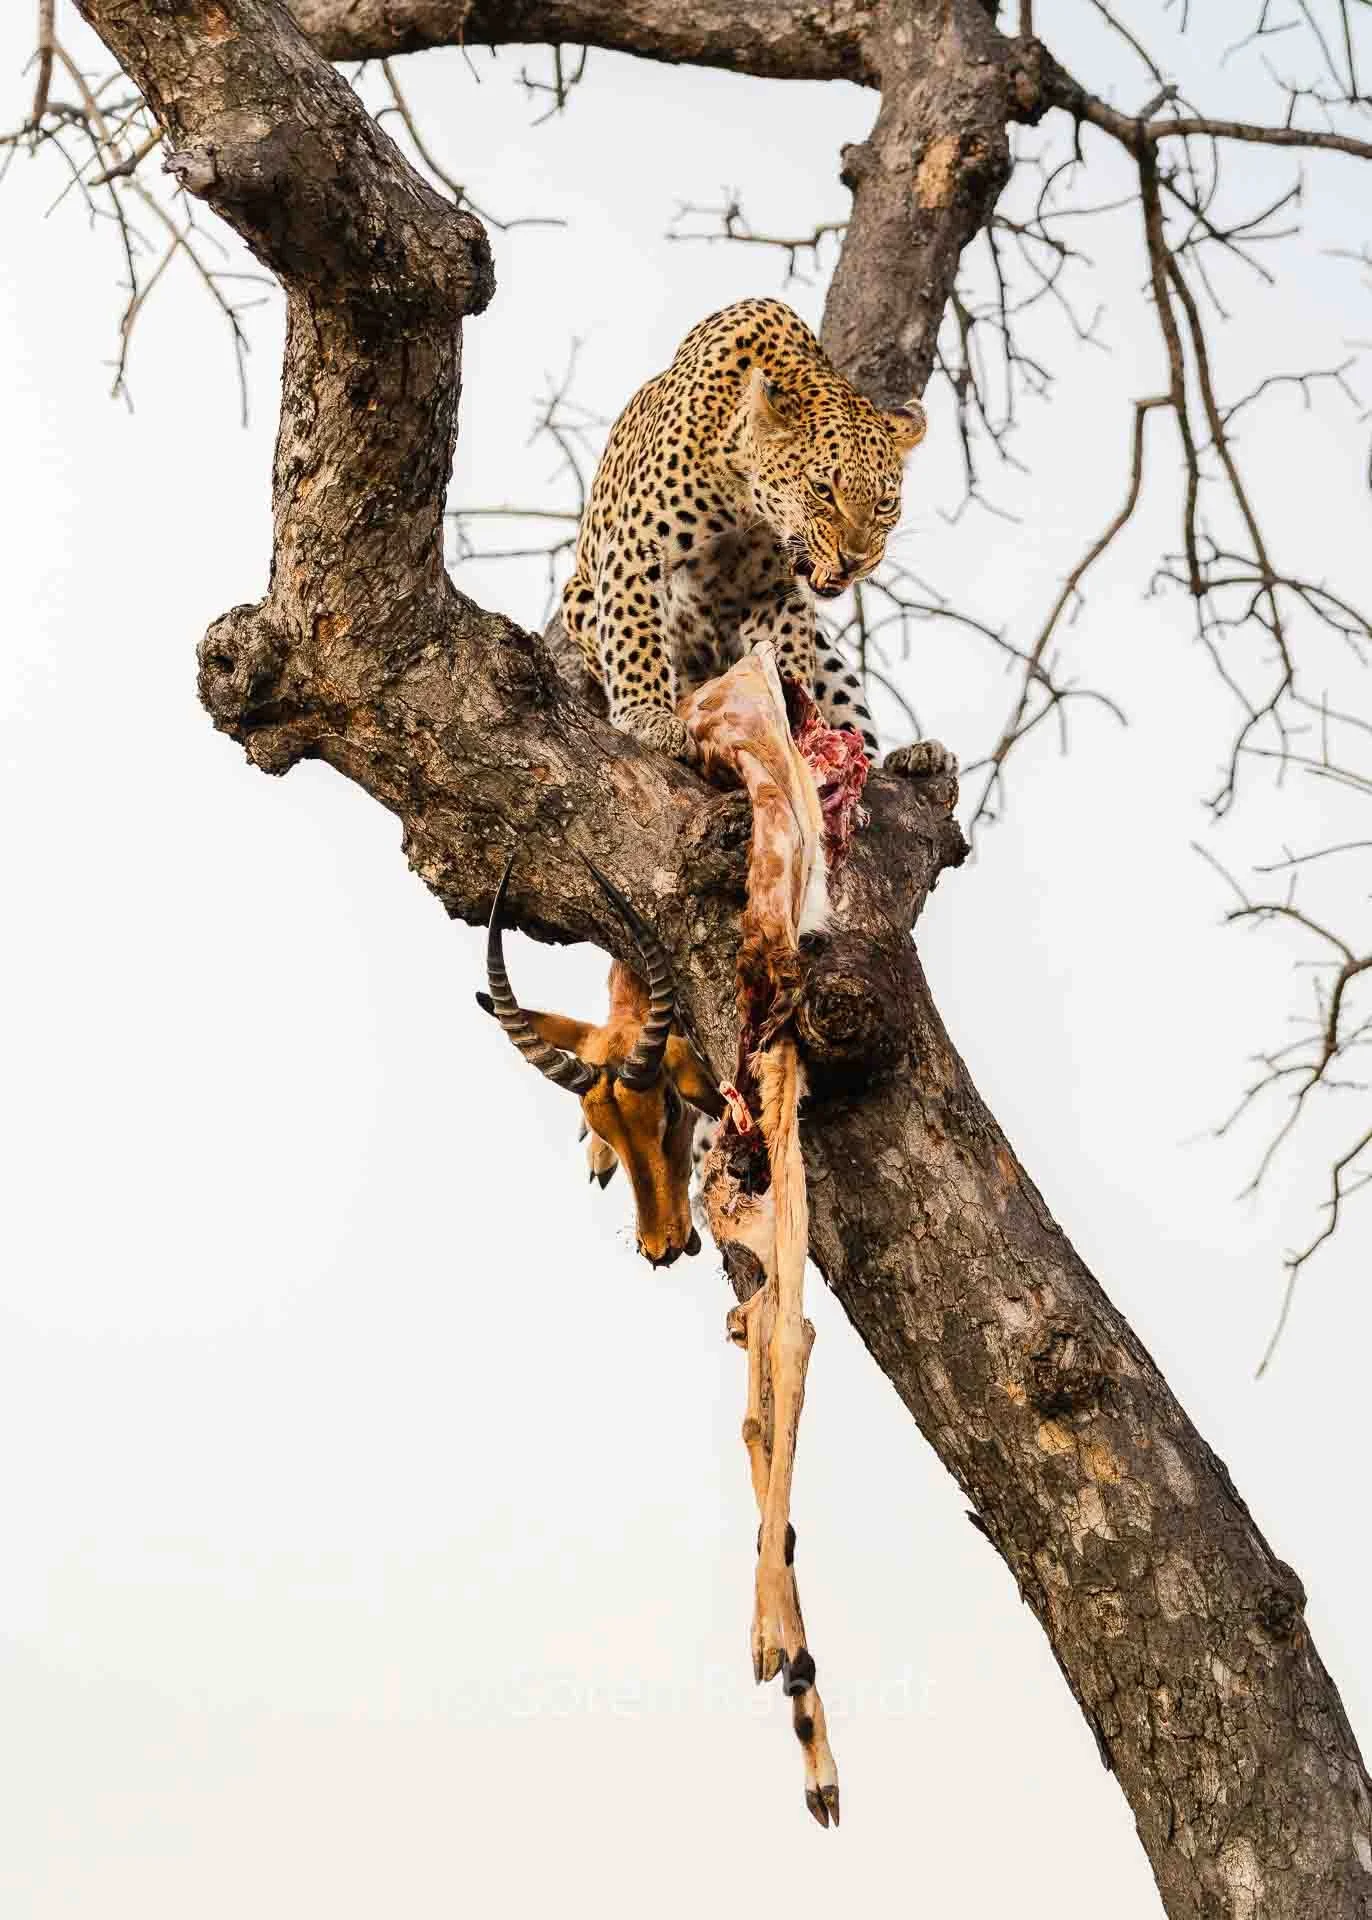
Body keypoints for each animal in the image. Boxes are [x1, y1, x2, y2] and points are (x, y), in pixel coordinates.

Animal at [562, 296, 957, 783]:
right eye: (822, 490)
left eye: (885, 503)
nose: (854, 559)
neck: (748, 504)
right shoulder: (639, 544)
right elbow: (635, 635)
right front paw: (649, 716)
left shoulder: (775, 594)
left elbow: (787, 665)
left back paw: (914, 757)